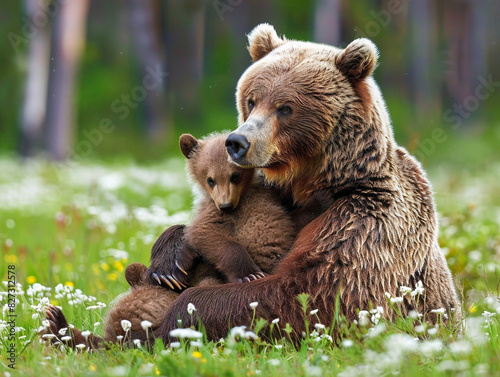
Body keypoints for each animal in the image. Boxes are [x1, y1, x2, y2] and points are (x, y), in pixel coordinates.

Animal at [157, 22, 460, 342]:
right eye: (251, 100)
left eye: (285, 107)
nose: (238, 142)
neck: (311, 176)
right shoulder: (281, 197)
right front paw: (170, 261)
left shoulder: (363, 221)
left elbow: (311, 295)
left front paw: (174, 319)